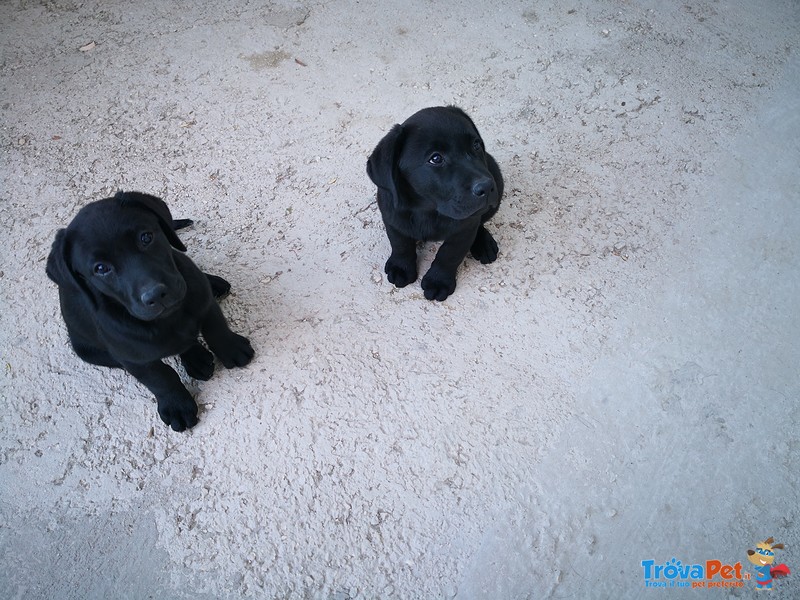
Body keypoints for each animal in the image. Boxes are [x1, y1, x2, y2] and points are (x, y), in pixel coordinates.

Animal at [47, 192, 253, 432]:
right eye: (101, 268)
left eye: (146, 237)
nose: (155, 294)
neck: (171, 317)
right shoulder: (132, 357)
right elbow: (160, 378)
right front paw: (177, 406)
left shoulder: (204, 301)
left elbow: (216, 328)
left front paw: (233, 349)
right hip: (90, 352)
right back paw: (196, 358)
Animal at [368, 106, 504, 302]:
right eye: (436, 158)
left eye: (476, 145)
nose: (486, 186)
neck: (428, 210)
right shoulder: (392, 219)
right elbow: (400, 244)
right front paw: (401, 267)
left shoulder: (464, 229)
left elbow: (449, 254)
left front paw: (438, 282)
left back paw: (483, 243)